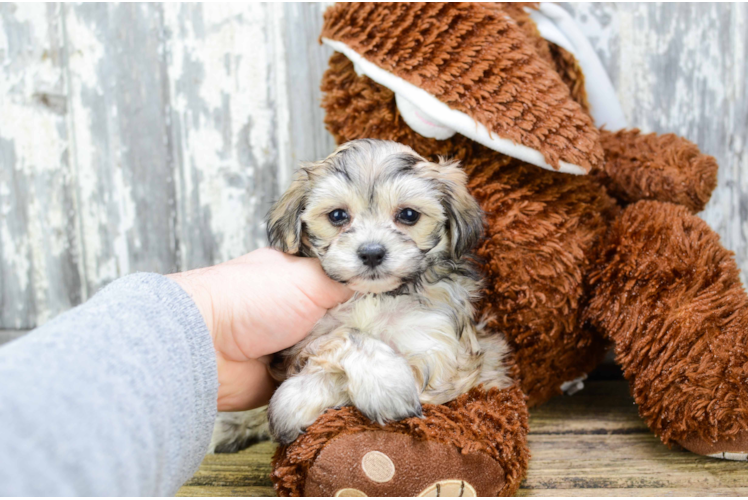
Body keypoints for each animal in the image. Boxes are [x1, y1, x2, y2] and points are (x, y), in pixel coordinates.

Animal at [210, 139, 516, 452]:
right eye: (337, 216)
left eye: (408, 215)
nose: (371, 252)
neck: (375, 297)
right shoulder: (303, 340)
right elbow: (345, 335)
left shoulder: (442, 361)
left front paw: (378, 387)